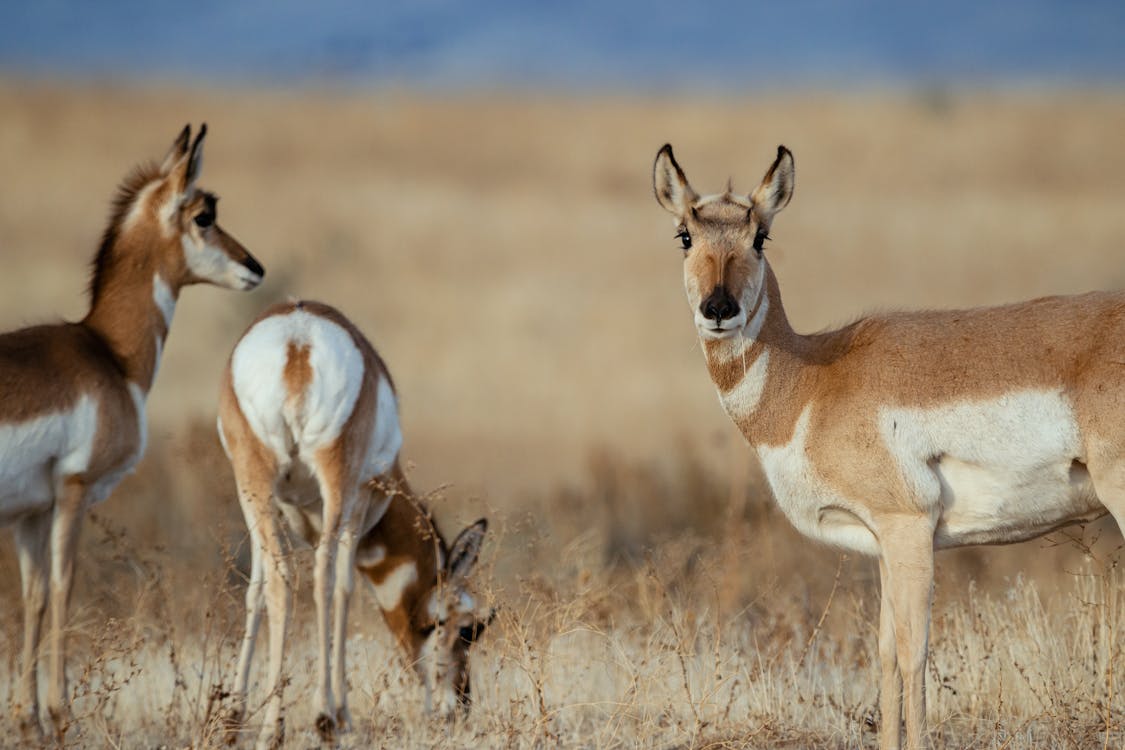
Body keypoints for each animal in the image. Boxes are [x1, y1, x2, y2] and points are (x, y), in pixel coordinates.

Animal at [0, 123, 264, 737]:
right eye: (203, 215)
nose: (255, 267)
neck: (108, 354)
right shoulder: (72, 492)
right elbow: (64, 585)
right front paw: (60, 712)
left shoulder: (30, 512)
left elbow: (33, 597)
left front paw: (28, 720)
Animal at [217, 301, 490, 750]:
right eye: (469, 628)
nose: (459, 708)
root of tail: (297, 341)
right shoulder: (360, 502)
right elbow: (343, 586)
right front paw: (339, 712)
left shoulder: (272, 507)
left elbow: (255, 591)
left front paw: (232, 718)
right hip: (335, 483)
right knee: (324, 578)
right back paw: (325, 717)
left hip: (251, 481)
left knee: (281, 580)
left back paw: (272, 727)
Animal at [657, 143, 1120, 746]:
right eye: (685, 235)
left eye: (759, 235)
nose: (718, 309)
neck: (814, 381)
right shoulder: (881, 543)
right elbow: (883, 654)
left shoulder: (909, 530)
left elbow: (912, 653)